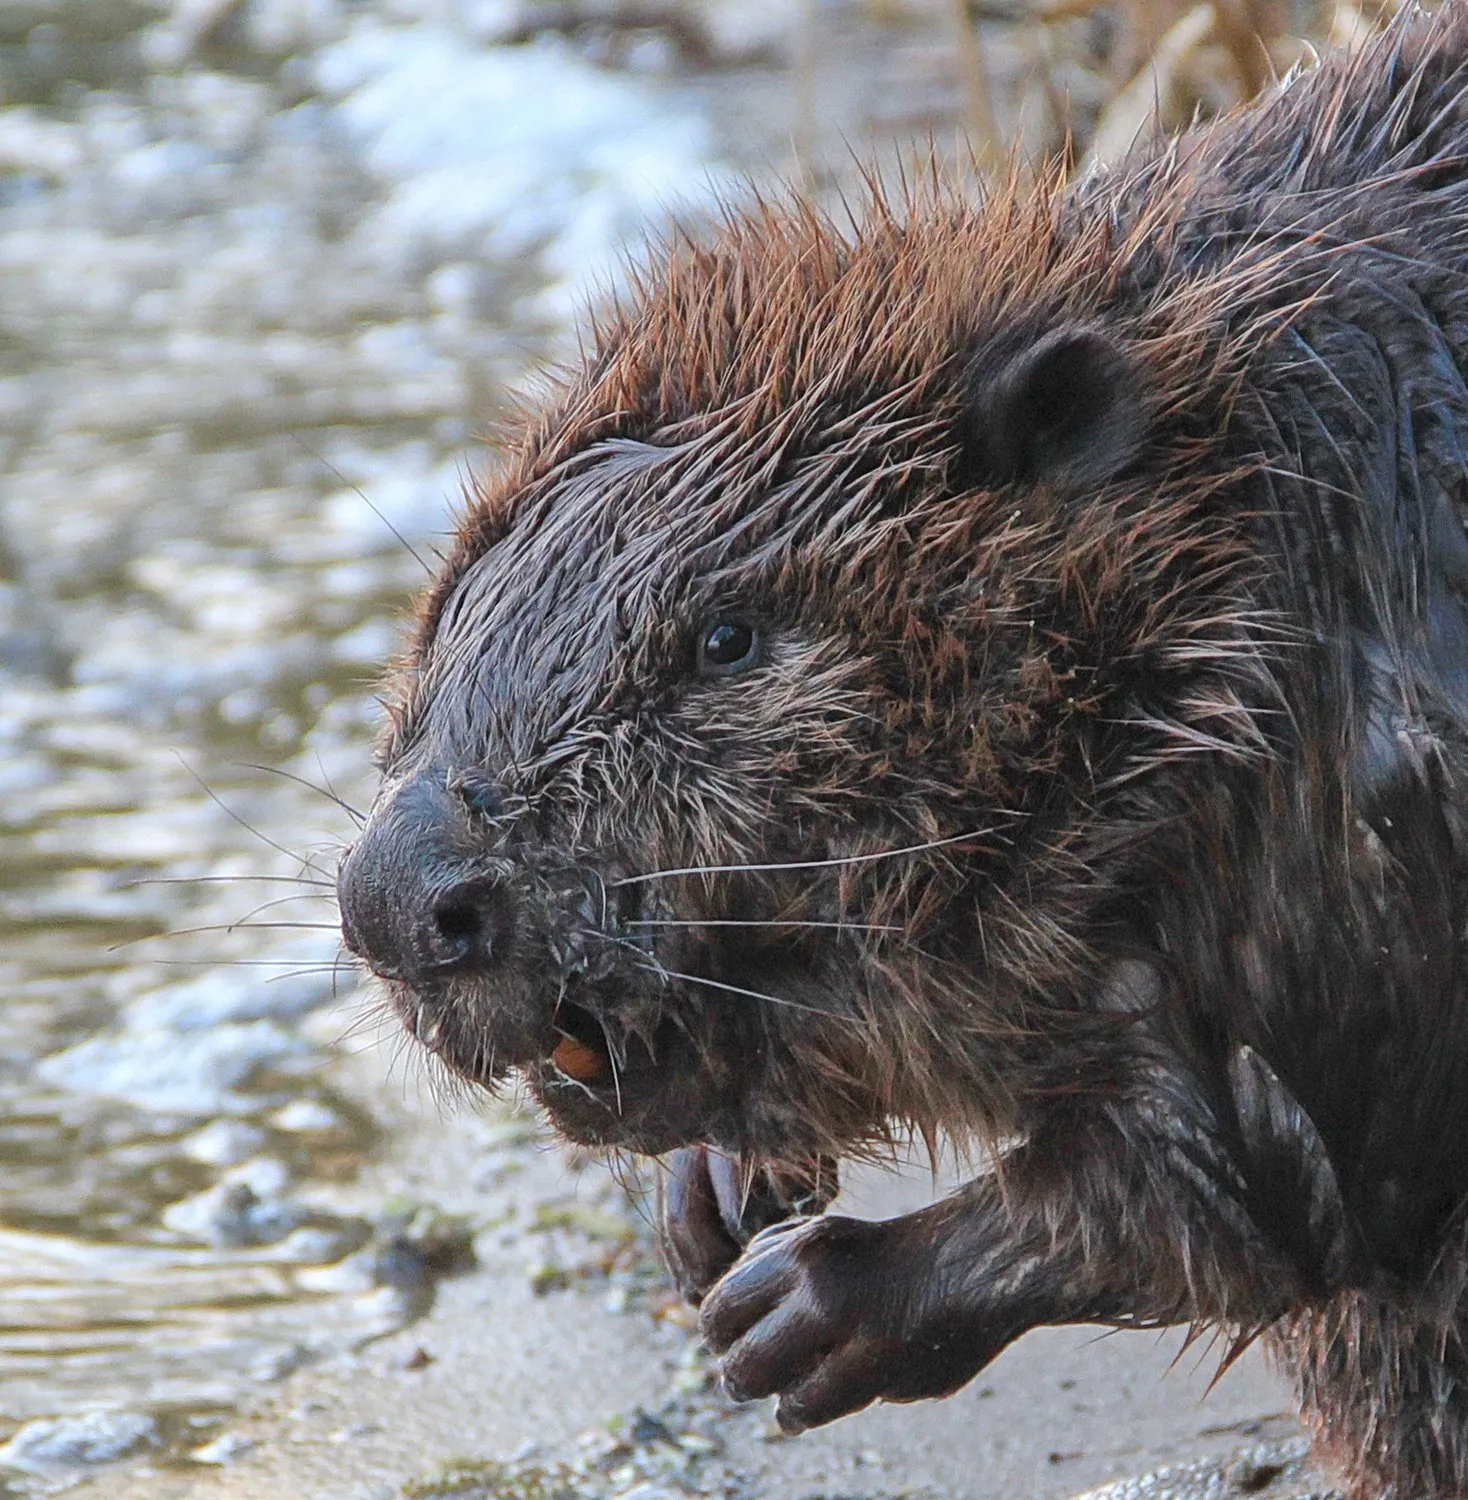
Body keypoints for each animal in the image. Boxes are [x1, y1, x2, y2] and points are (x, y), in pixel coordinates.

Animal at [341, 14, 1468, 1500]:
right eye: (450, 617)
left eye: (728, 639)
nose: (403, 904)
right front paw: (714, 1199)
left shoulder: (1341, 814)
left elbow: (1273, 1178)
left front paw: (802, 1310)